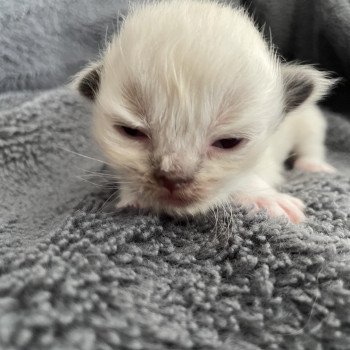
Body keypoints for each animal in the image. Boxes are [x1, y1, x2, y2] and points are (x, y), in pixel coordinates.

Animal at [73, 0, 336, 224]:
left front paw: (267, 198)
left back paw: (314, 166)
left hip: (308, 119)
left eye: (229, 142)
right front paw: (132, 197)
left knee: (312, 141)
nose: (173, 178)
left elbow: (242, 181)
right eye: (130, 131)